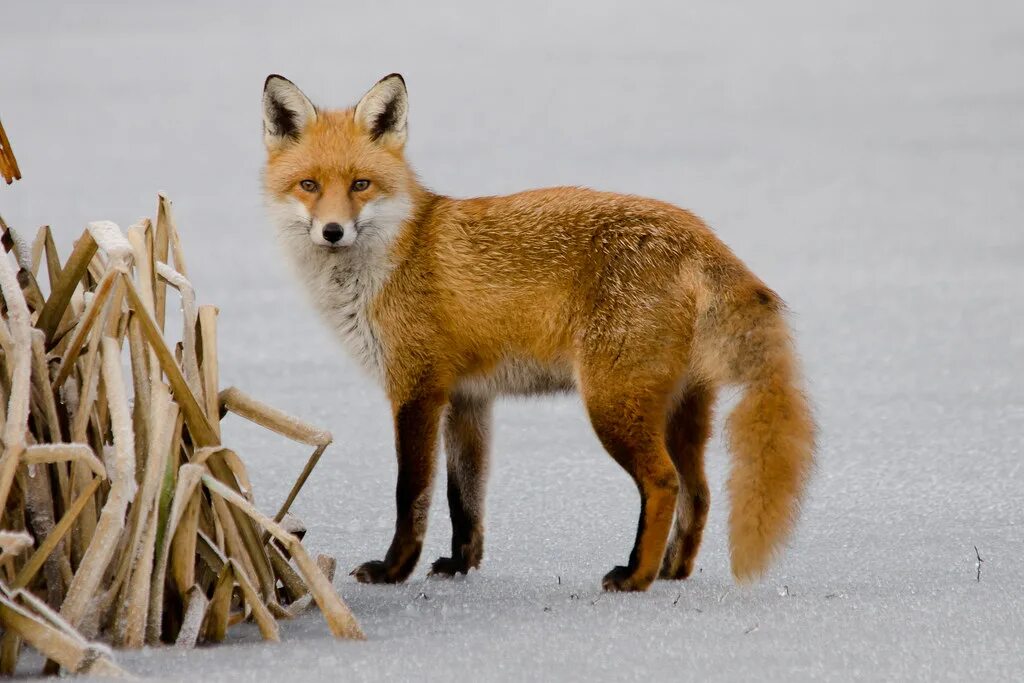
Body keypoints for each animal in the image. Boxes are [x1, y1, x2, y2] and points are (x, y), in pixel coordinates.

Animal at [264, 72, 815, 589]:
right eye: (309, 185)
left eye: (361, 185)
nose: (332, 231)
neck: (391, 260)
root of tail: (701, 235)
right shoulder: (468, 399)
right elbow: (464, 497)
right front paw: (461, 565)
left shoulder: (416, 390)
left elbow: (411, 494)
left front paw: (394, 569)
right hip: (679, 411)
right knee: (698, 491)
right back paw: (672, 571)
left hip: (612, 406)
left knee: (664, 483)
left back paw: (635, 576)